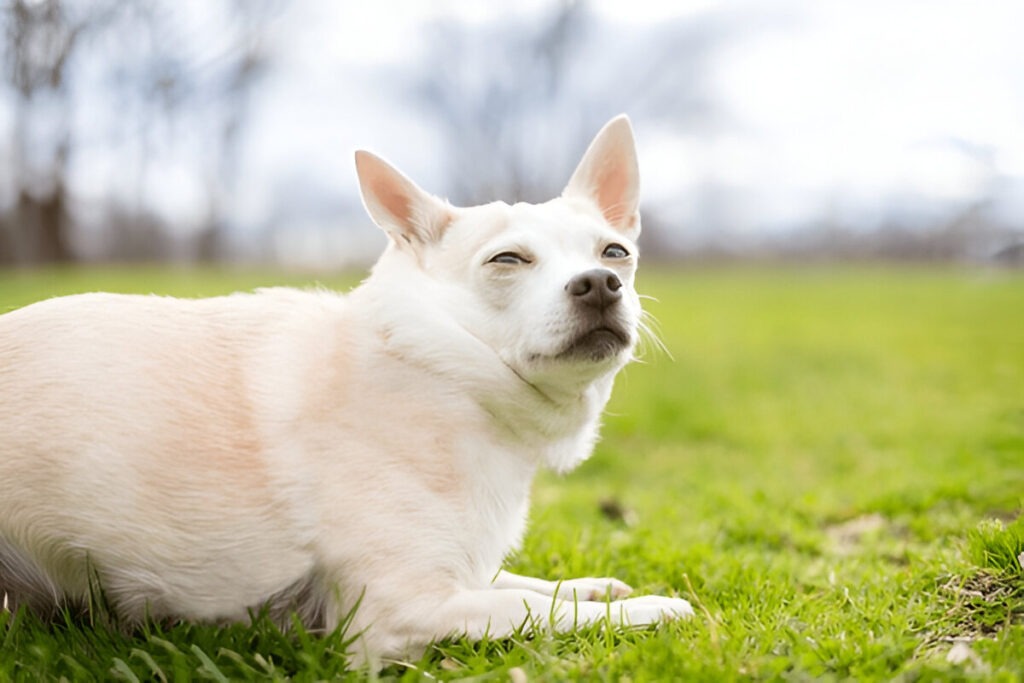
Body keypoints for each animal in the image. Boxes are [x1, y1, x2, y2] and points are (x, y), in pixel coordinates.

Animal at [0, 116, 692, 663]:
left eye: (616, 252)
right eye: (508, 261)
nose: (600, 282)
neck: (444, 373)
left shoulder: (455, 574)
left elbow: (517, 584)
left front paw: (591, 584)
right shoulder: (403, 611)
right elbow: (533, 612)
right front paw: (650, 609)